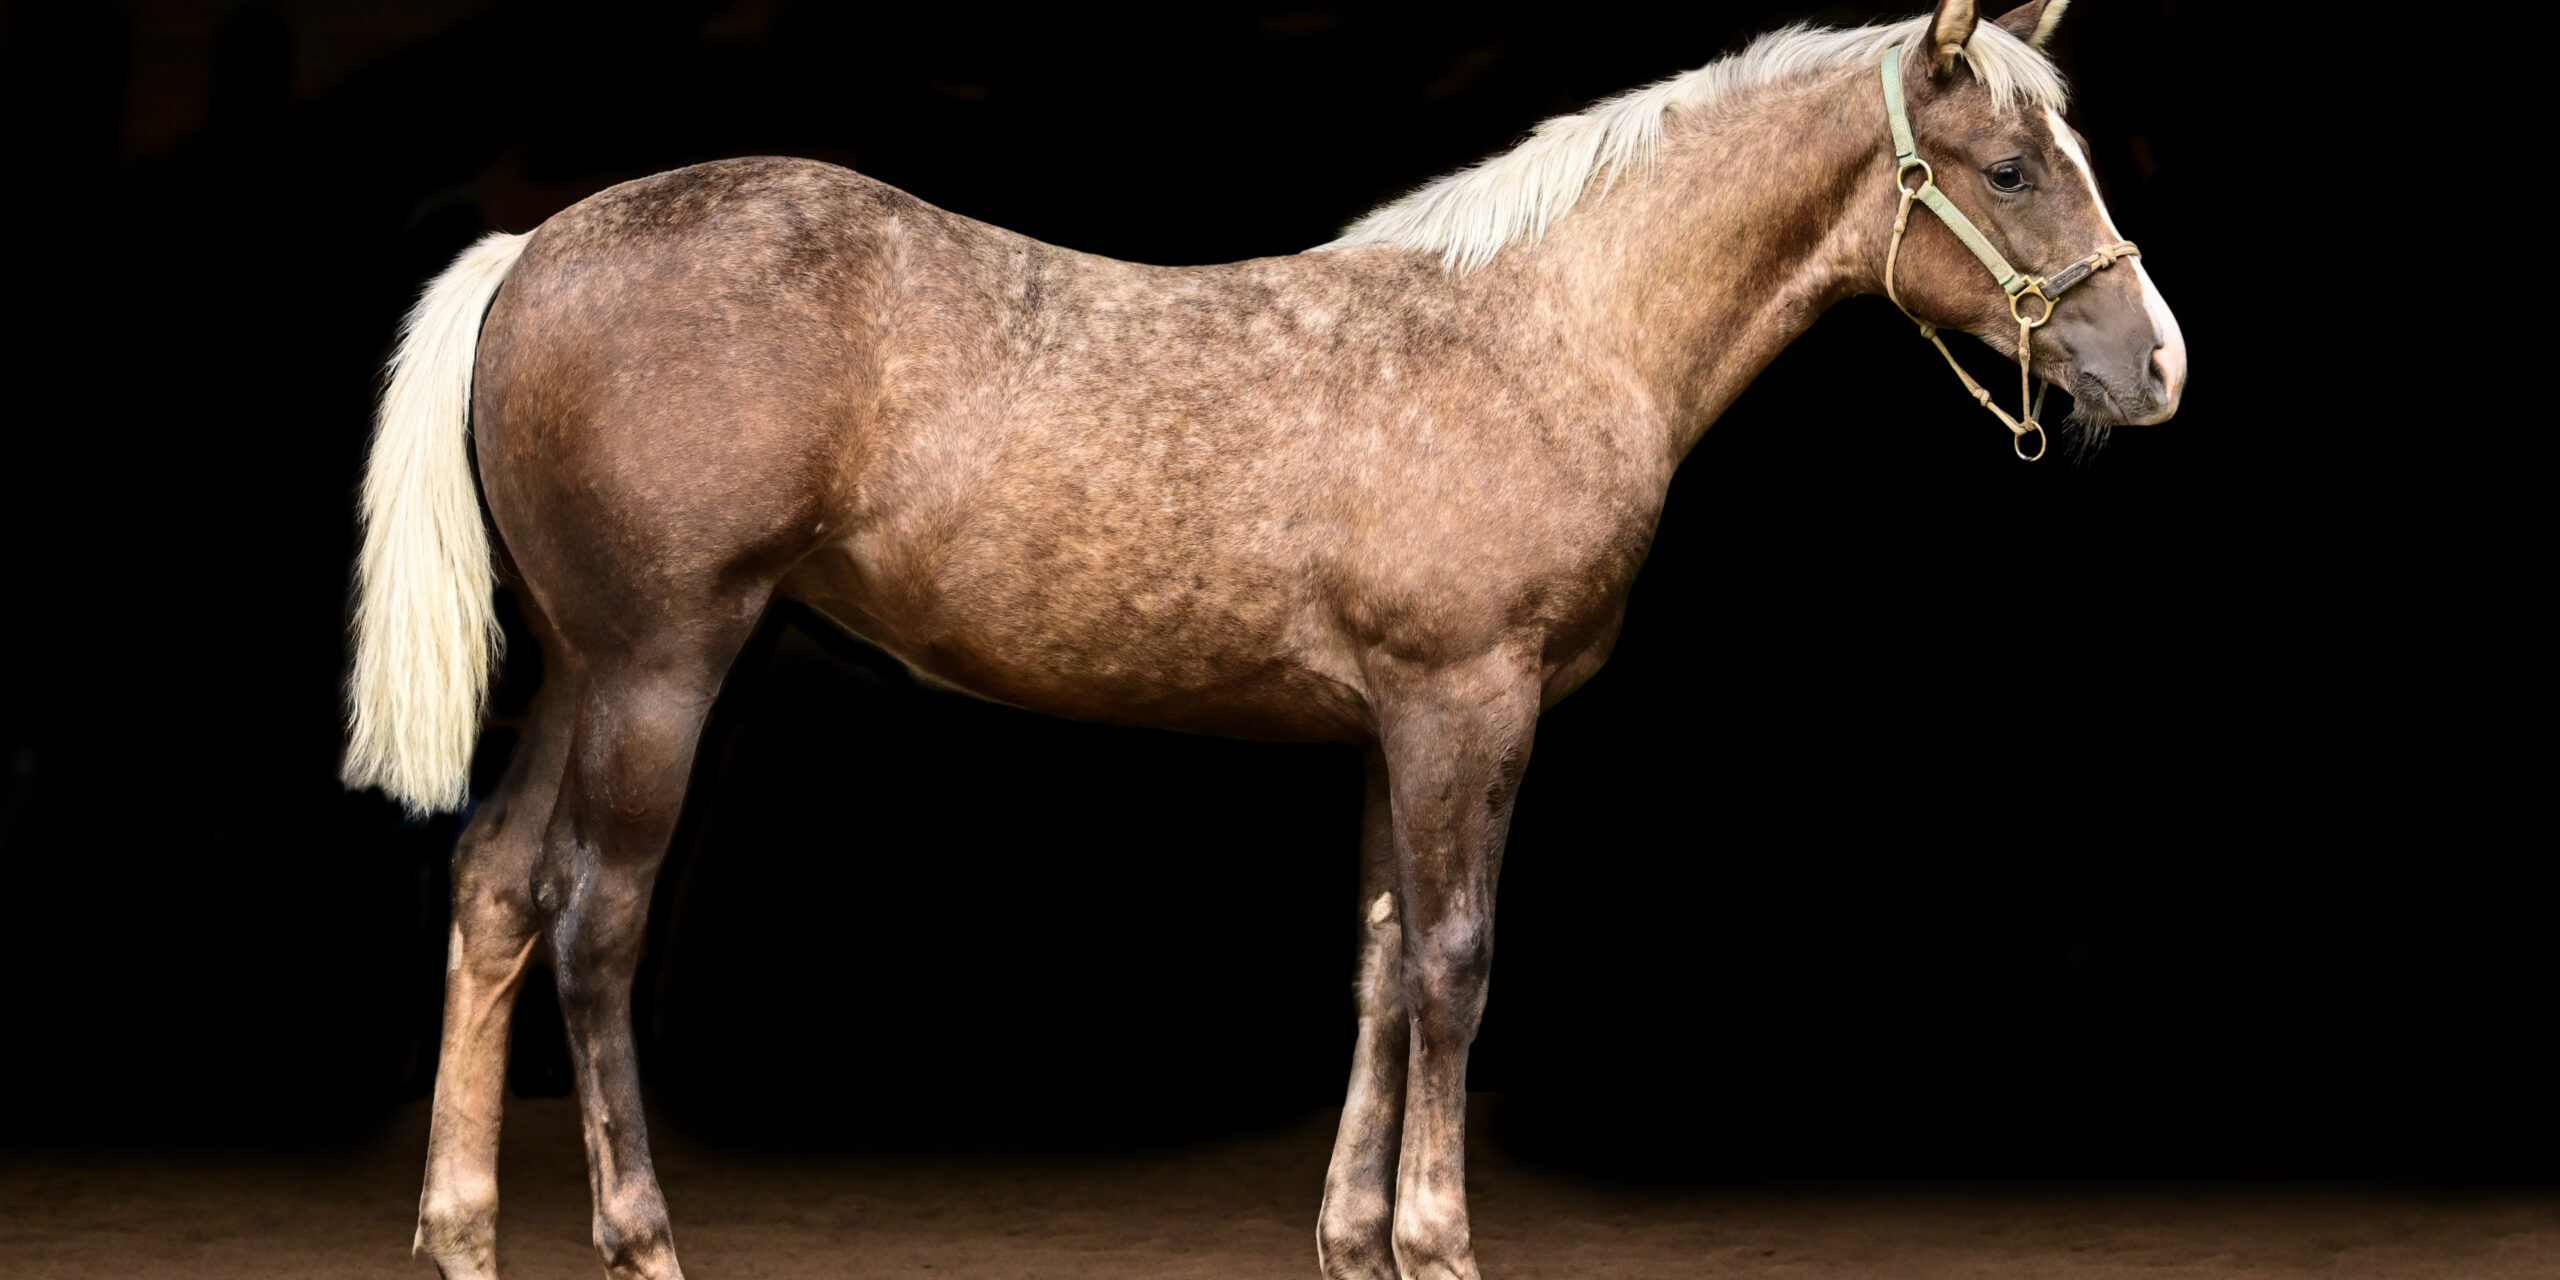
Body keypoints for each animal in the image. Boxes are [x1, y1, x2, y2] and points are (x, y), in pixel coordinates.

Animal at [342, 2, 2184, 1276]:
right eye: (2010, 169)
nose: (2159, 364)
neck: (1537, 330)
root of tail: (533, 246)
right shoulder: (1465, 705)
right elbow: (1454, 967)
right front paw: (1438, 1241)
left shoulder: (1395, 726)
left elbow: (1379, 962)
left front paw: (1356, 1238)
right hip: (660, 669)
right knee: (591, 921)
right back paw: (638, 1235)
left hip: (576, 669)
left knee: (492, 893)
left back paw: (462, 1229)